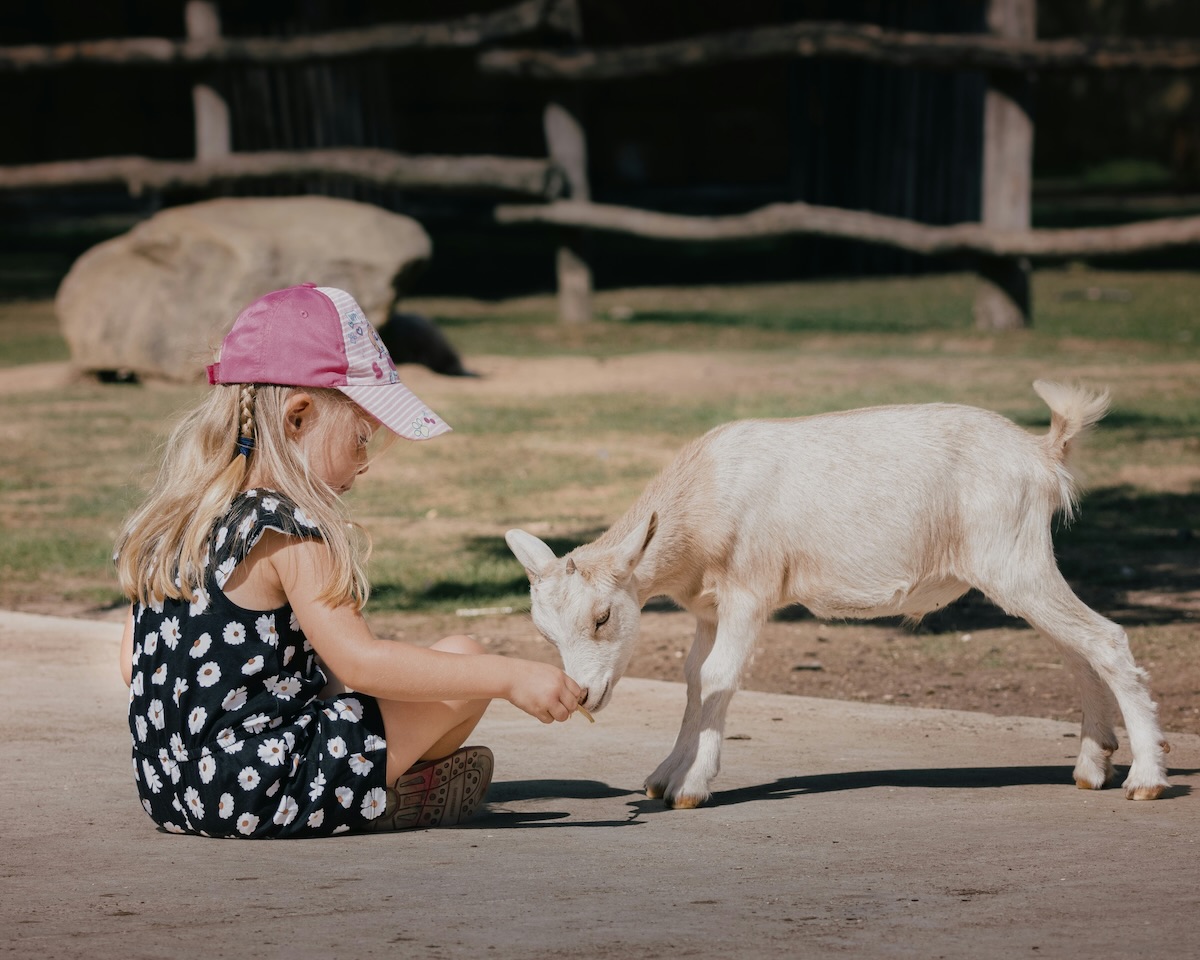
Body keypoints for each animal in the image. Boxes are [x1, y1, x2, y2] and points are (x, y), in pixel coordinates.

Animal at [506, 382, 1171, 808]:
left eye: (601, 616)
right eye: (545, 632)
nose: (583, 695)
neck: (706, 495)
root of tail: (1042, 453)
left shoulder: (750, 591)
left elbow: (719, 676)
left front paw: (692, 787)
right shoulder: (708, 608)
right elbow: (695, 678)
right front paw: (664, 777)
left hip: (1014, 561)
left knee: (1105, 639)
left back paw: (1145, 778)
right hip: (1019, 569)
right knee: (1078, 651)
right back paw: (1092, 766)